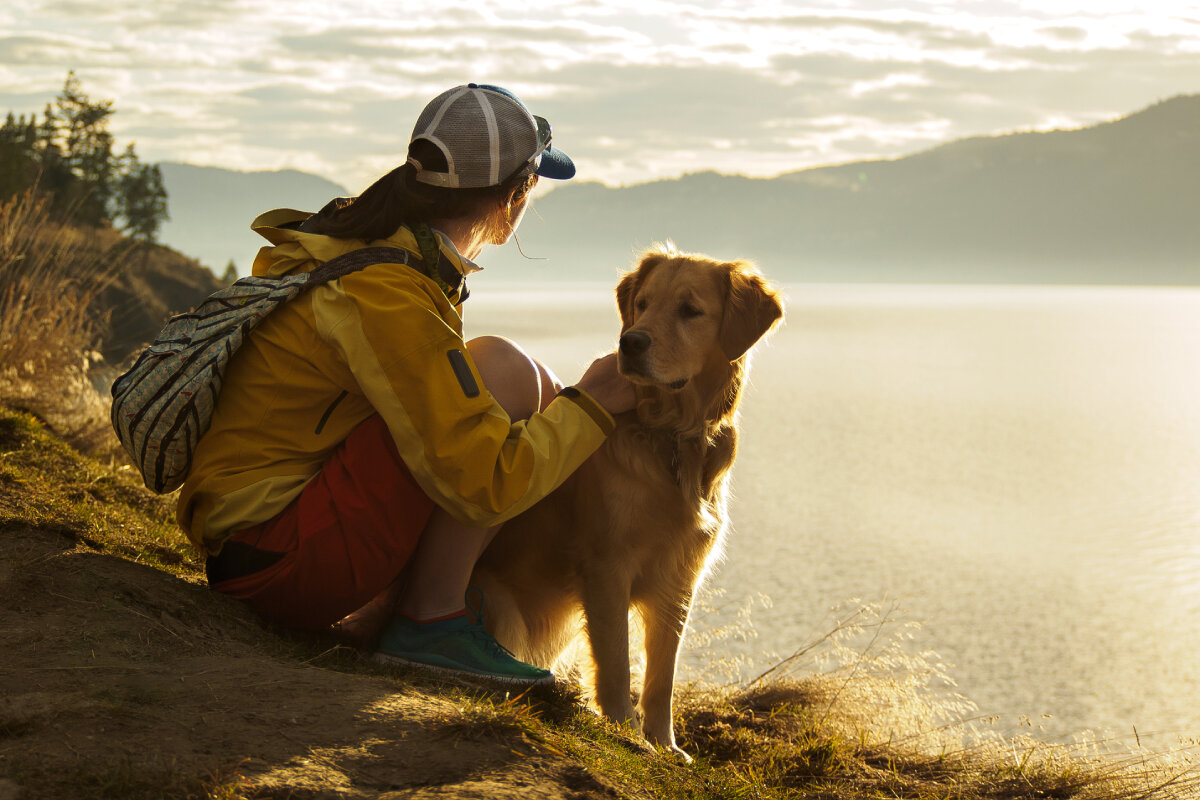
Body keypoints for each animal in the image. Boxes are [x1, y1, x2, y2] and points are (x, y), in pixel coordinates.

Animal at [463, 247, 782, 762]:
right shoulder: (606, 567)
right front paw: (624, 732)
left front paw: (665, 743)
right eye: (643, 304)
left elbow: (661, 676)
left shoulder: (679, 579)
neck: (673, 437)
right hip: (501, 609)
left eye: (689, 310)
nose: (629, 343)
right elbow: (615, 662)